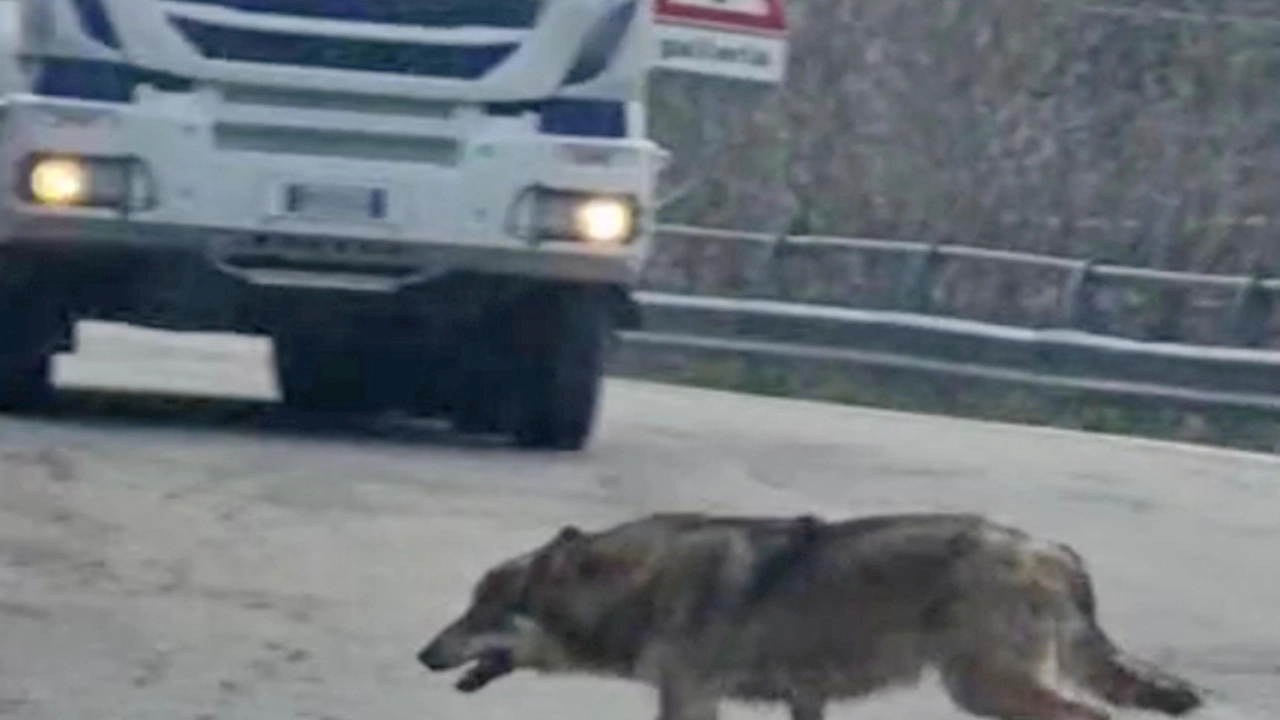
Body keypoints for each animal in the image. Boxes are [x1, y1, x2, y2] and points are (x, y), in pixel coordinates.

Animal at [414, 509, 1203, 717]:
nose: (423, 655)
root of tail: (1055, 549)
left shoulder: (690, 697)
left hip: (984, 688)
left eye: (480, 611)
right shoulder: (805, 697)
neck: (640, 585)